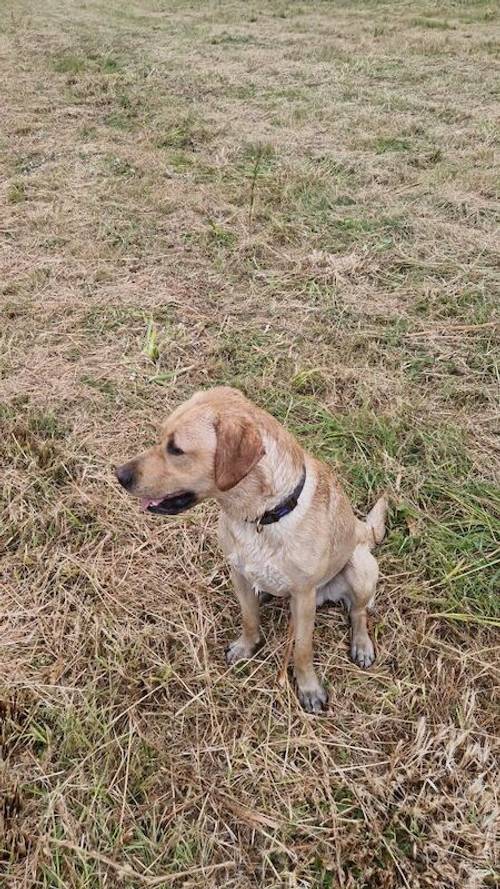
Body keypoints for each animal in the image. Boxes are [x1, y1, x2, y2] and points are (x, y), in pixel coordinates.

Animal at [116, 386, 386, 712]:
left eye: (176, 450)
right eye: (160, 438)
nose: (120, 475)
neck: (260, 516)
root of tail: (362, 530)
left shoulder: (303, 596)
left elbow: (302, 650)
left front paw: (308, 687)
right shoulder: (239, 574)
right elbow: (248, 618)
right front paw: (248, 646)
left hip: (360, 569)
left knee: (359, 612)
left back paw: (361, 644)